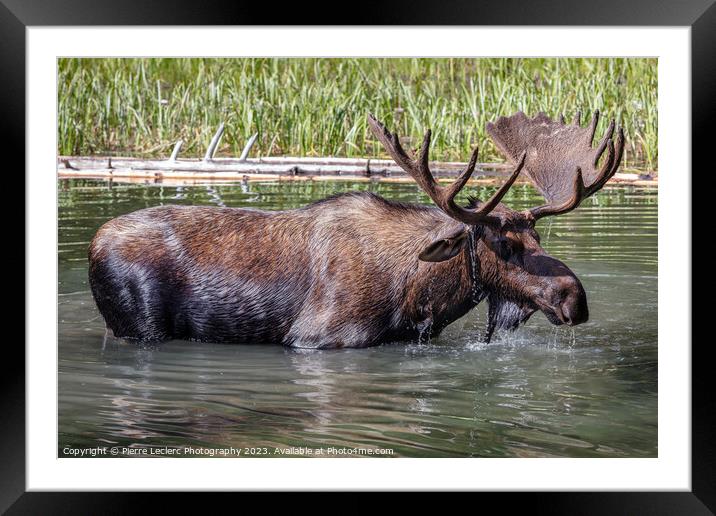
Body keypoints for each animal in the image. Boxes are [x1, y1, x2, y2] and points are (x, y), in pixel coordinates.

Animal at [89, 111, 624, 348]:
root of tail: (94, 244)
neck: (422, 295)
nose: (575, 299)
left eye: (538, 238)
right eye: (502, 244)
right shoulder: (320, 338)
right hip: (137, 326)